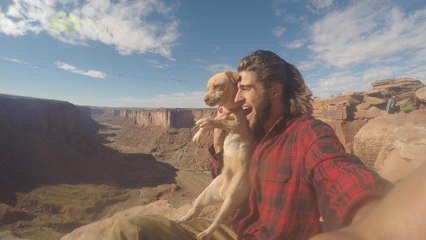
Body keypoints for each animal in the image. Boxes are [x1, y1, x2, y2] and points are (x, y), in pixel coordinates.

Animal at [176, 70, 253, 239]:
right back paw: (178, 220)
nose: (204, 98)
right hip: (204, 196)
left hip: (231, 200)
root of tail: (223, 194)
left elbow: (217, 121)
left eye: (217, 86)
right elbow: (214, 122)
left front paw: (204, 120)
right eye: (207, 88)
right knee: (194, 212)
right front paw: (198, 135)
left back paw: (204, 233)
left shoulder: (237, 124)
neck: (230, 109)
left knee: (216, 222)